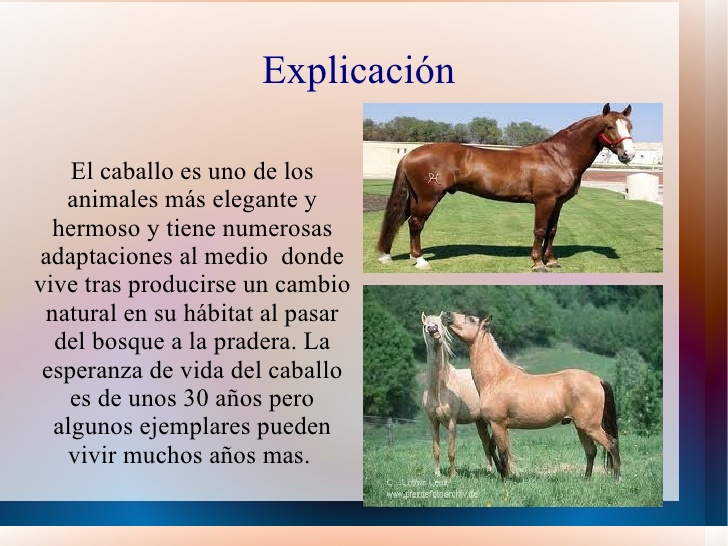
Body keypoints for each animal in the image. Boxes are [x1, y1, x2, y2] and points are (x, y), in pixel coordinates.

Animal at [376, 104, 635, 271]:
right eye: (609, 126)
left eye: (630, 126)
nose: (629, 154)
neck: (559, 157)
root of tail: (409, 154)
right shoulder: (544, 201)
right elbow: (540, 230)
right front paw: (538, 263)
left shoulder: (558, 203)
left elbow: (552, 231)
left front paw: (552, 261)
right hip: (429, 198)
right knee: (416, 223)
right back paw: (420, 260)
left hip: (417, 198)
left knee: (405, 221)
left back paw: (391, 255)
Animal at [420, 313, 493, 477]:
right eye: (425, 325)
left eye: (440, 323)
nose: (433, 330)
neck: (439, 388)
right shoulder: (433, 422)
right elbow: (436, 450)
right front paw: (437, 474)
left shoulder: (452, 422)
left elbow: (451, 450)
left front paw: (453, 475)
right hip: (480, 421)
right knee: (486, 443)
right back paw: (490, 470)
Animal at [441, 311, 621, 480]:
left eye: (471, 319)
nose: (446, 315)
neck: (496, 378)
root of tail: (597, 380)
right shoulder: (498, 425)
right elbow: (492, 449)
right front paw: (502, 473)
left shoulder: (498, 424)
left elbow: (503, 453)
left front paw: (505, 479)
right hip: (581, 427)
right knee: (591, 451)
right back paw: (586, 479)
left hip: (590, 426)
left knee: (611, 443)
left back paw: (617, 478)